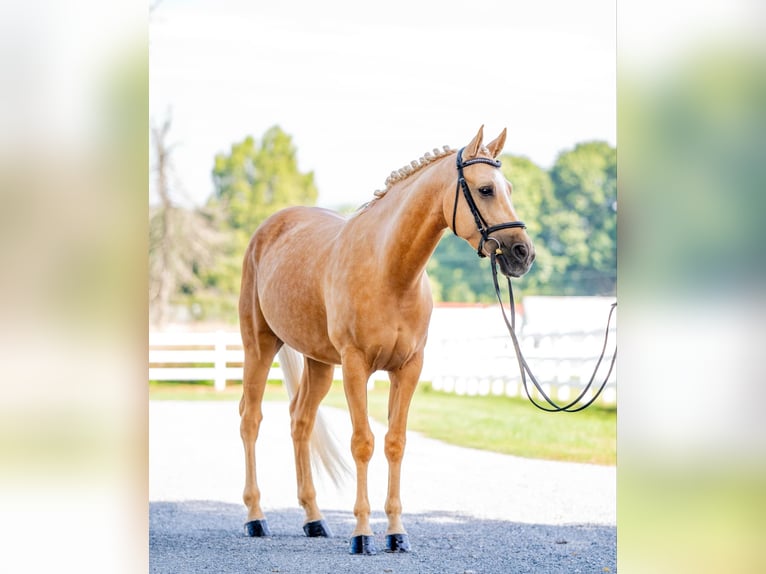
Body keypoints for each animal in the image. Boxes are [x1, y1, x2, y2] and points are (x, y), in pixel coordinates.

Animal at [238, 127, 536, 560]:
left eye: (509, 187)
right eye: (485, 189)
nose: (522, 254)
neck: (390, 271)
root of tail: (269, 227)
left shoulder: (408, 367)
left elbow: (395, 442)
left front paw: (397, 534)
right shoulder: (355, 365)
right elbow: (362, 443)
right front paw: (361, 535)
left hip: (319, 362)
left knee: (301, 422)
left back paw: (314, 519)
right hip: (259, 346)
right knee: (251, 420)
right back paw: (255, 518)